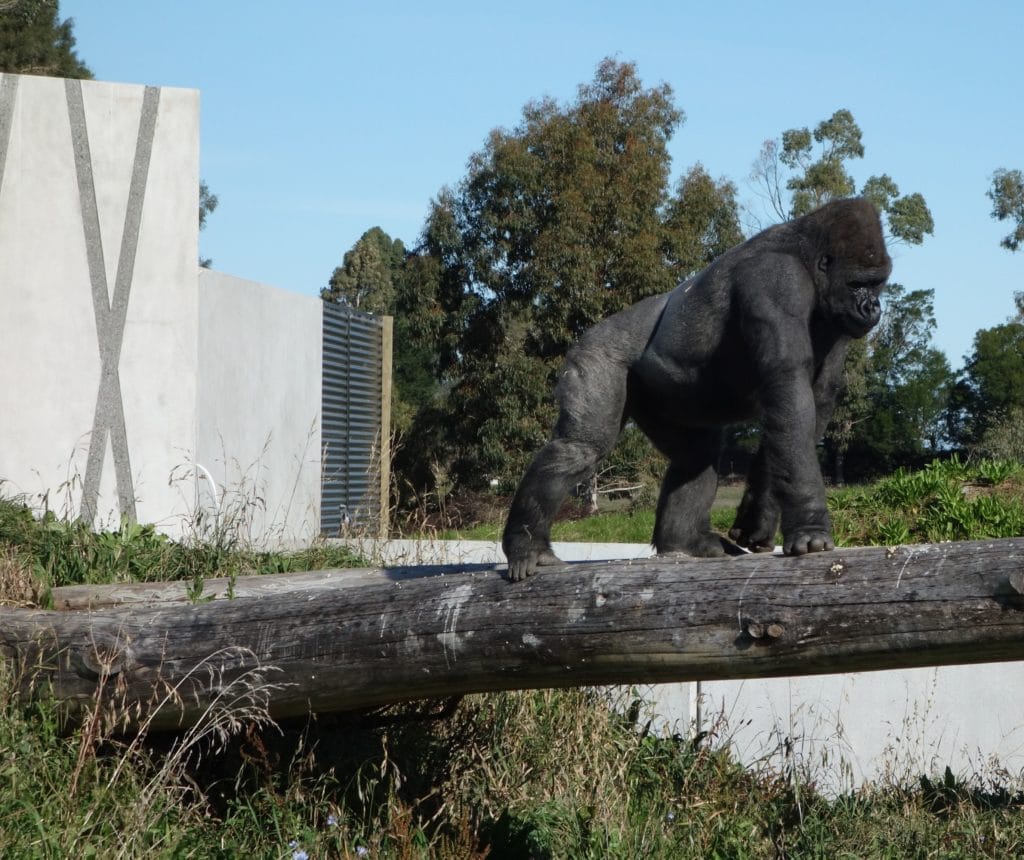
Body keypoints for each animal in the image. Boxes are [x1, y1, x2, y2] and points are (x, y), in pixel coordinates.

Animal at [501, 198, 888, 581]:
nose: (872, 307)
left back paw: (685, 541)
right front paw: (810, 528)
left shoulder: (835, 321)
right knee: (580, 447)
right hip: (596, 351)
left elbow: (811, 403)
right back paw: (528, 547)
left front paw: (758, 519)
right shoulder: (778, 280)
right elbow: (789, 391)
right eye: (858, 284)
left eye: (879, 284)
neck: (807, 257)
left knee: (695, 456)